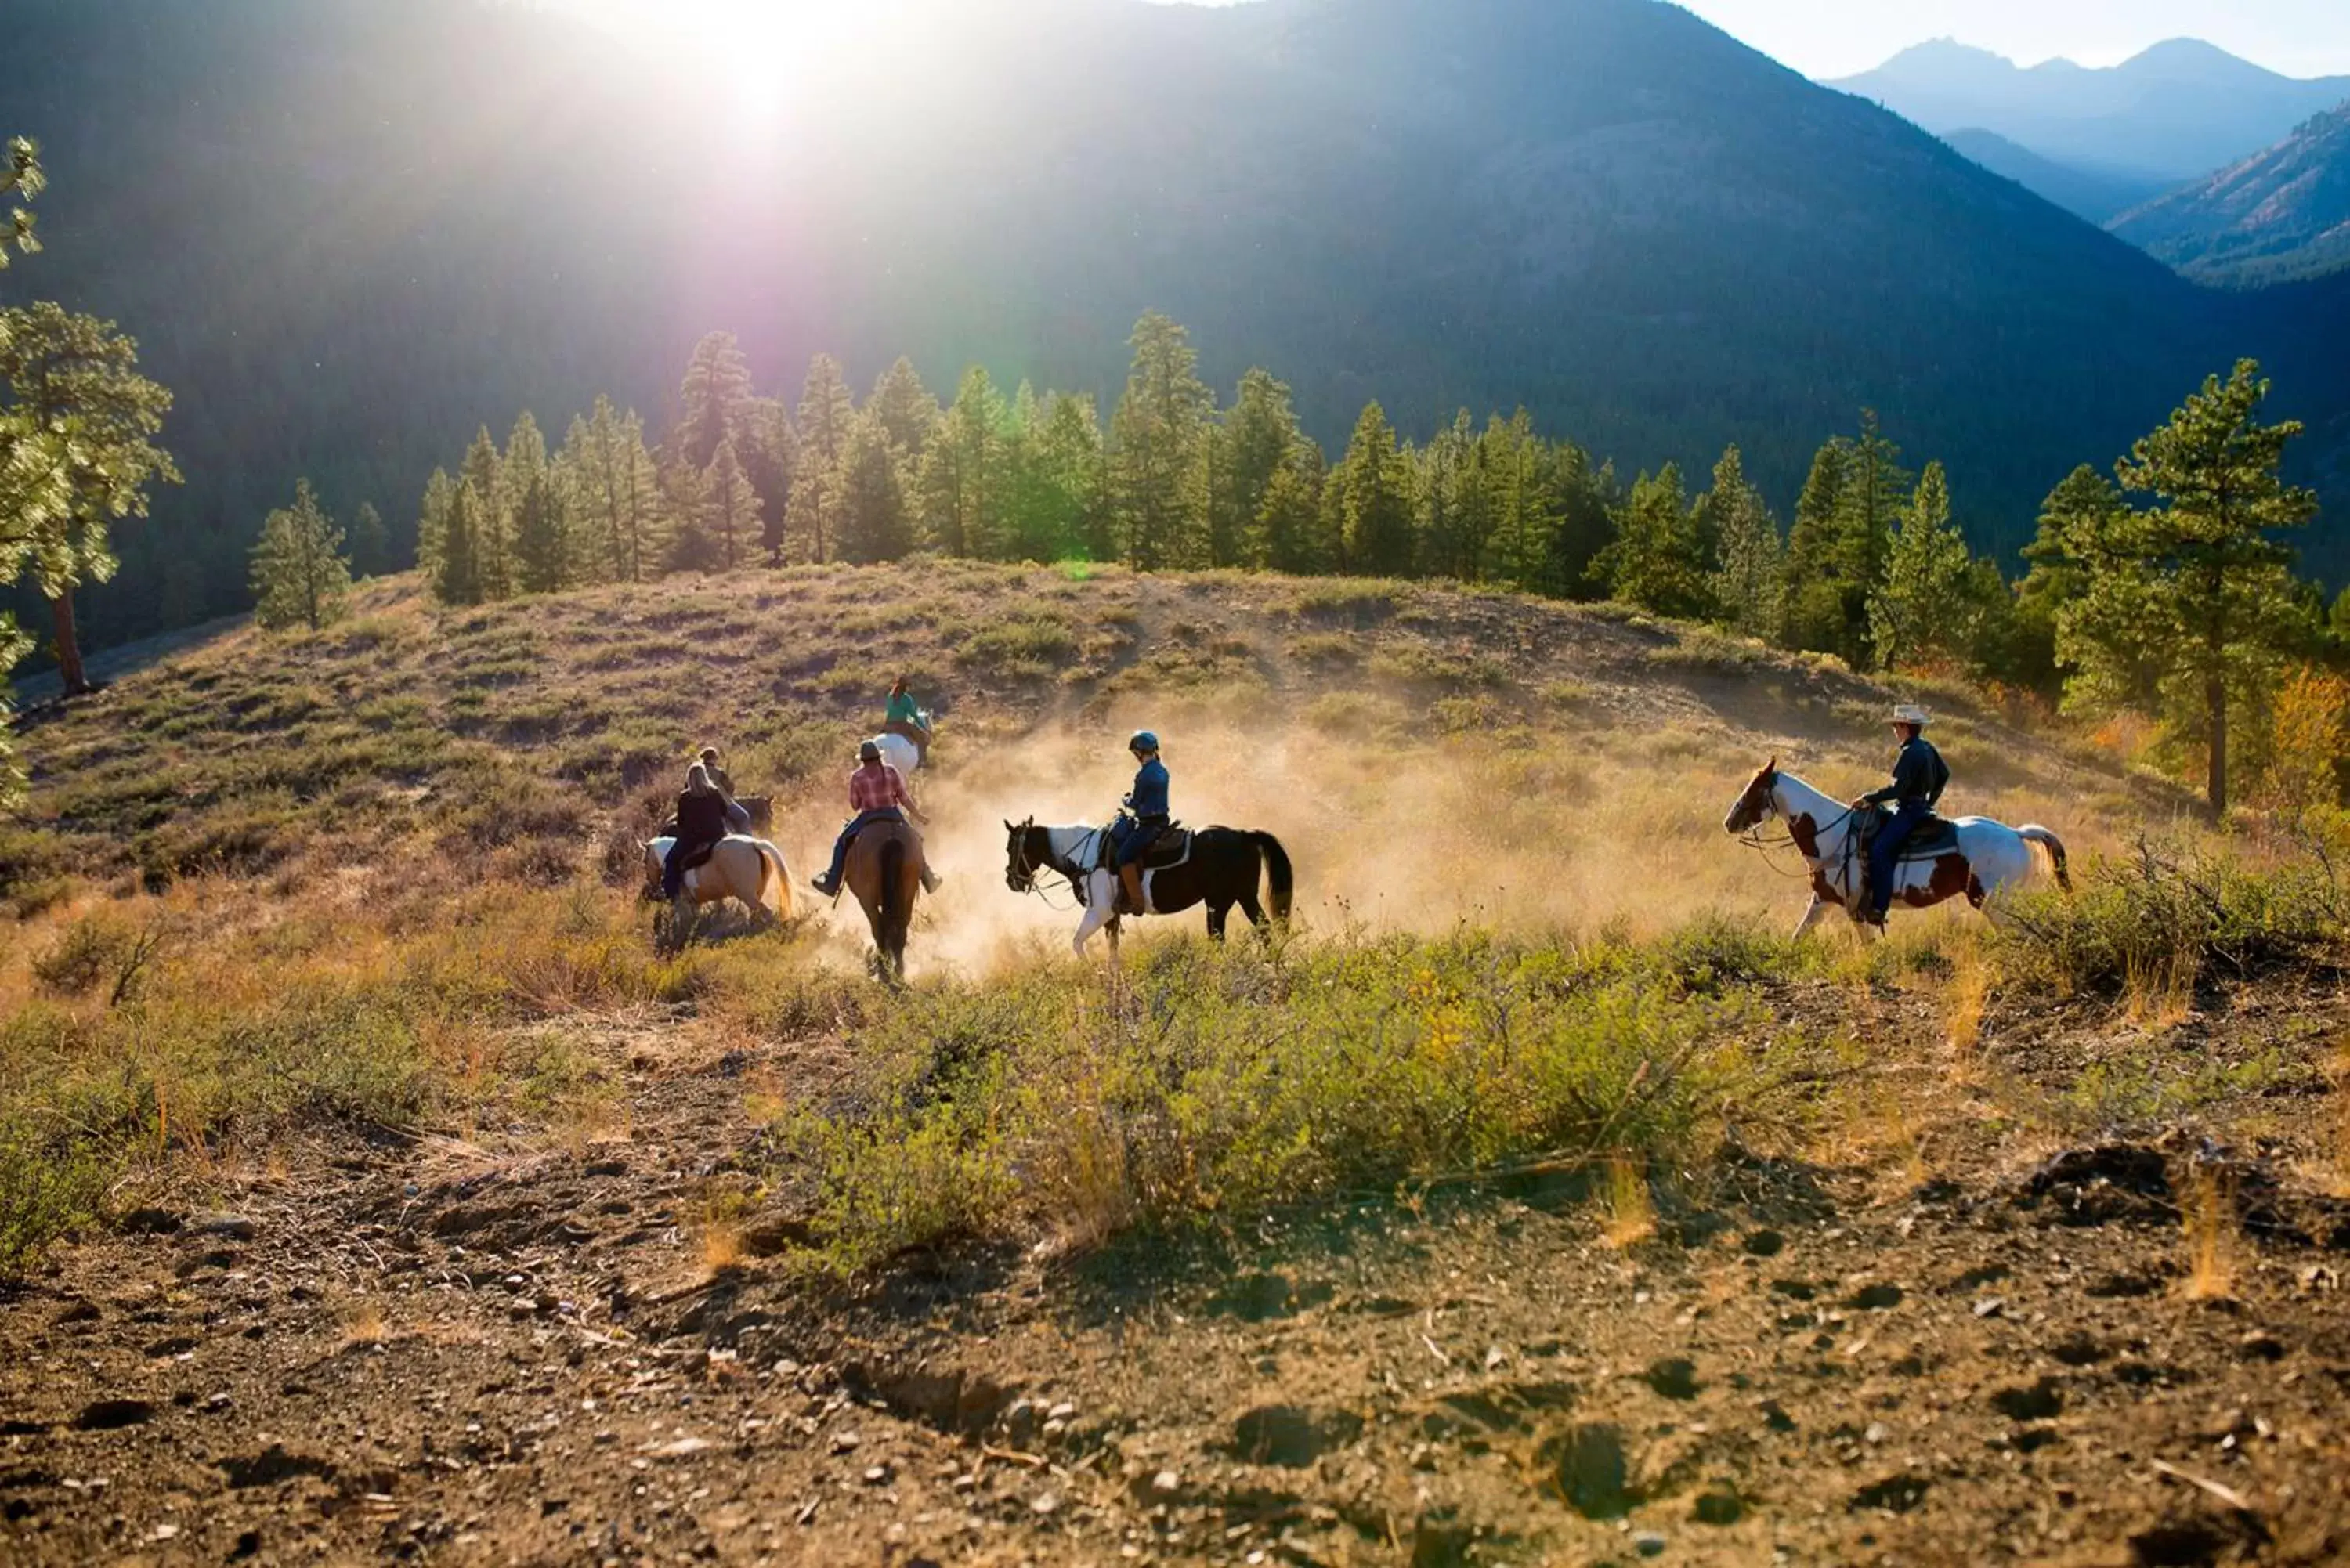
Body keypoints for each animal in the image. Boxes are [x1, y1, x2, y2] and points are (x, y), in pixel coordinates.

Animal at [639, 832, 794, 945]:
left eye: (645, 861)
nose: (652, 887)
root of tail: (754, 844)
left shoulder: (682, 903)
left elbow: (684, 922)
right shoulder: (695, 903)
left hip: (747, 895)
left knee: (768, 913)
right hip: (755, 895)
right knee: (756, 914)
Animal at [841, 818, 921, 973]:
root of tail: (891, 837)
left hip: (867, 900)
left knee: (878, 927)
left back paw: (882, 961)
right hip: (908, 894)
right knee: (901, 927)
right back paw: (898, 967)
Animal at [1001, 822, 1297, 959]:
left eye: (1011, 847)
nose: (1012, 882)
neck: (1088, 858)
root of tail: (1243, 834)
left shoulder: (1099, 911)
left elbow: (1077, 943)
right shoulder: (1112, 916)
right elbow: (1112, 950)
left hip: (1228, 900)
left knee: (1245, 933)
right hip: (1231, 900)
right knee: (1247, 932)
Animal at [1720, 757, 2068, 940]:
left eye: (1754, 790)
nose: (1729, 822)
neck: (1833, 835)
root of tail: (2015, 834)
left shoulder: (1855, 907)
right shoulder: (1824, 899)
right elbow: (1799, 935)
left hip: (1993, 903)